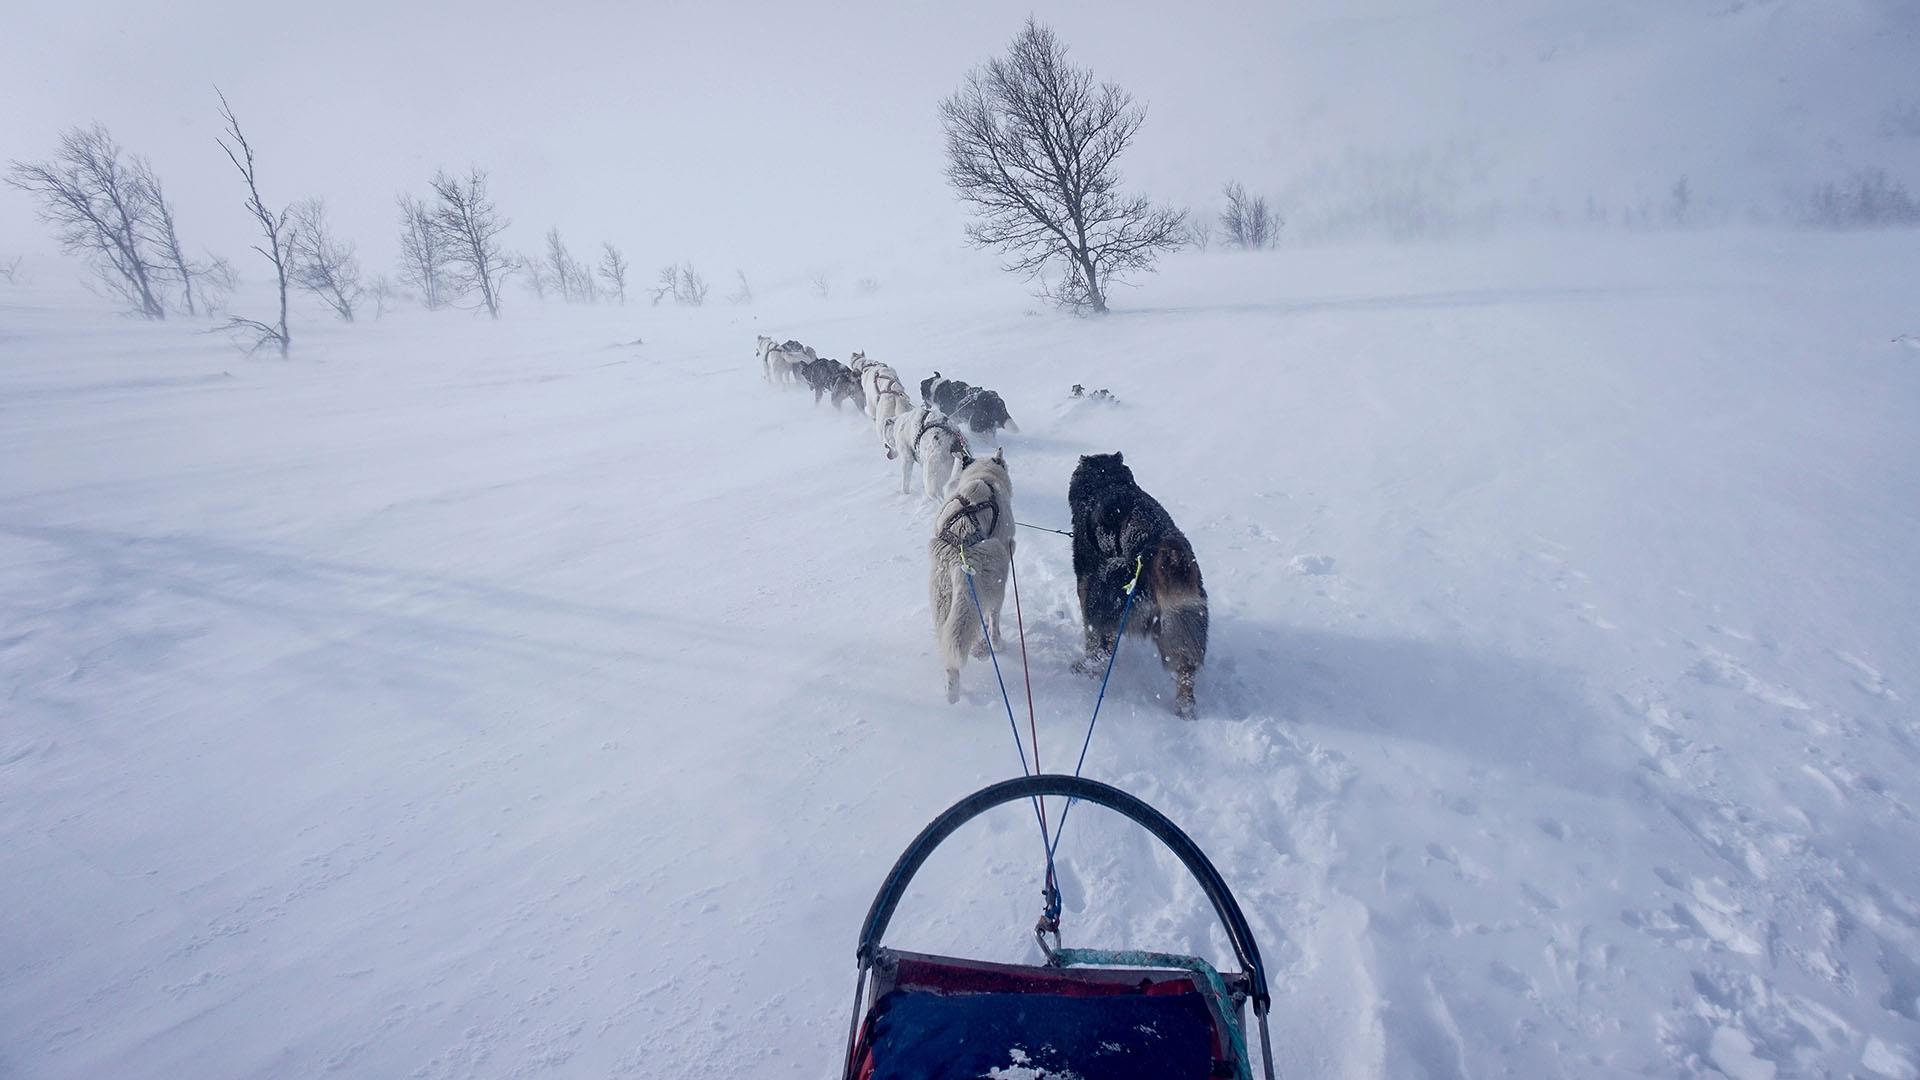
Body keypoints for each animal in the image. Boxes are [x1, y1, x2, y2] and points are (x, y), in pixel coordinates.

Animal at [933, 449, 1021, 703]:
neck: (983, 476)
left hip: (944, 600)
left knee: (949, 642)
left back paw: (953, 693)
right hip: (997, 582)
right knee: (992, 617)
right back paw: (994, 645)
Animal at [1067, 451, 1198, 714]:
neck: (1108, 481)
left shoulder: (1086, 588)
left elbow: (1095, 638)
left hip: (1101, 599)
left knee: (1100, 652)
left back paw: (1085, 669)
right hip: (1181, 625)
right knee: (1185, 670)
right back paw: (1185, 708)